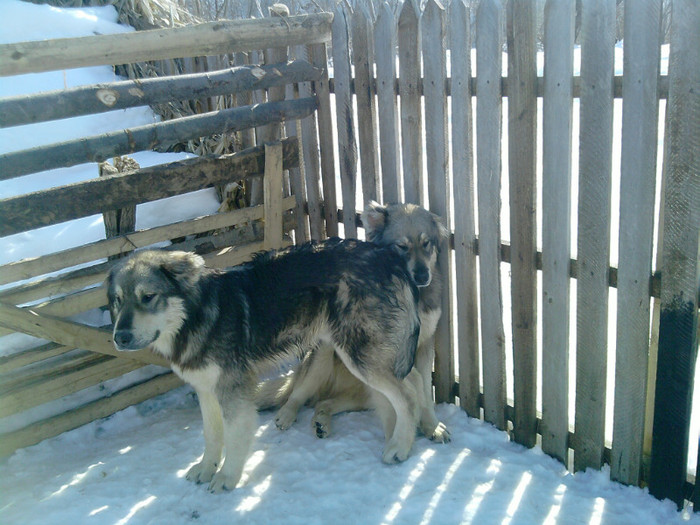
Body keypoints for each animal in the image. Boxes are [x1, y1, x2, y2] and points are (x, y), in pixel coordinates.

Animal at [104, 239, 422, 494]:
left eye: (148, 297)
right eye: (117, 300)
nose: (119, 338)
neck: (198, 316)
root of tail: (389, 255)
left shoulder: (233, 392)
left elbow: (234, 438)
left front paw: (227, 478)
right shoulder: (207, 391)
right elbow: (211, 435)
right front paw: (207, 468)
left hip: (359, 356)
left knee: (408, 393)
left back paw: (400, 446)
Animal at [260, 203, 452, 444]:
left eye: (426, 244)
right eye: (401, 247)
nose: (422, 276)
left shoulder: (424, 347)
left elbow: (425, 392)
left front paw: (431, 426)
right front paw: (396, 437)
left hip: (358, 391)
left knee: (323, 402)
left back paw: (321, 423)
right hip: (323, 356)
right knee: (297, 393)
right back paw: (286, 414)